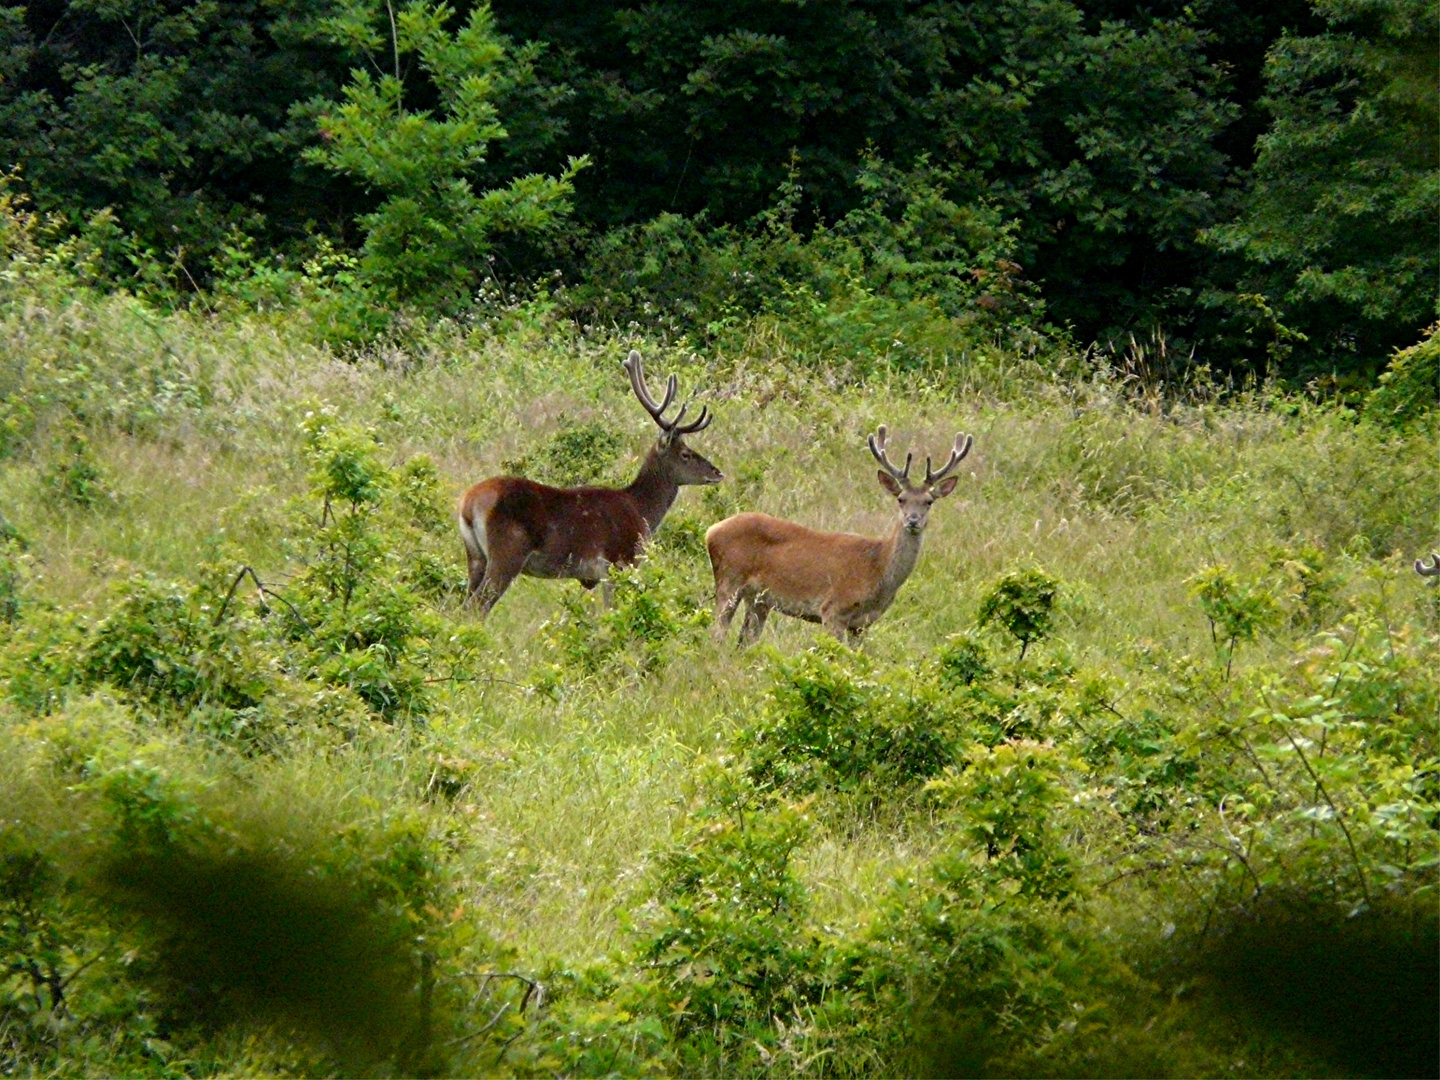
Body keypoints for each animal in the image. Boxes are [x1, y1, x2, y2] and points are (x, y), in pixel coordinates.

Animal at [457, 352, 720, 616]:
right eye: (686, 454)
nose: (717, 472)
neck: (642, 510)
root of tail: (468, 504)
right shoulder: (618, 562)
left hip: (475, 555)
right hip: (507, 552)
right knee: (478, 605)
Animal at [705, 423, 973, 642]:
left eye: (929, 501)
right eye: (901, 499)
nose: (913, 521)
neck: (878, 567)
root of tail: (711, 531)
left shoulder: (862, 625)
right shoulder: (832, 609)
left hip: (759, 600)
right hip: (729, 580)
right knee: (718, 634)